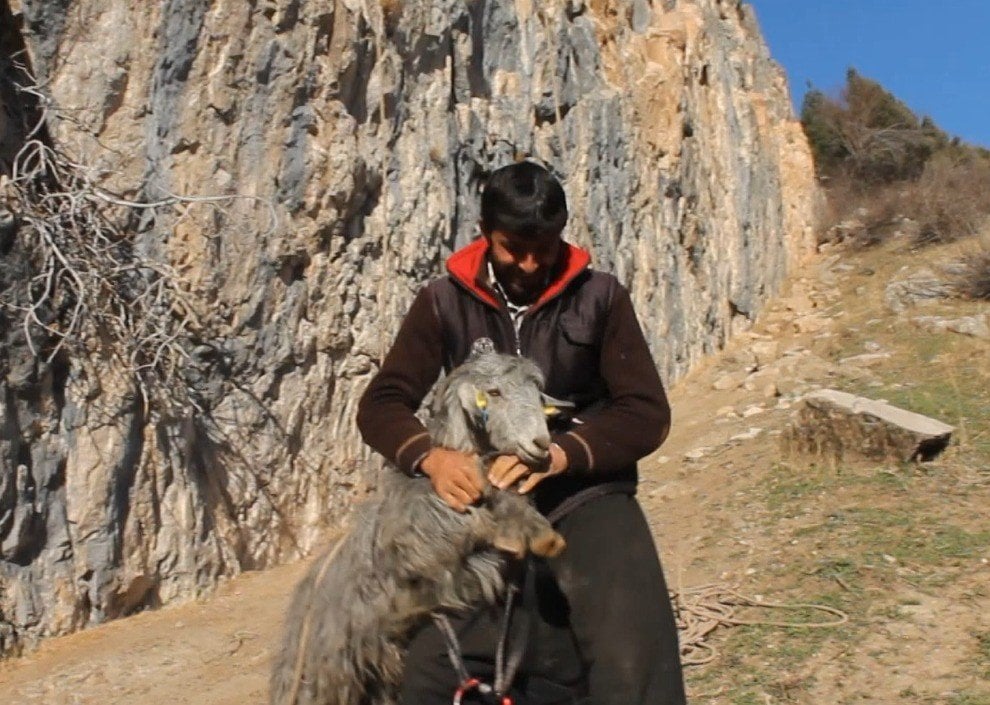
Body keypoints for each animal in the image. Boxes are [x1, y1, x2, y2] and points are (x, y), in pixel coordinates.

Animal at [270, 348, 564, 704]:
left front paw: (541, 535)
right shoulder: (424, 546)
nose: (541, 444)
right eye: (494, 393)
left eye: (538, 394)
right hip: (329, 673)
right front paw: (515, 534)